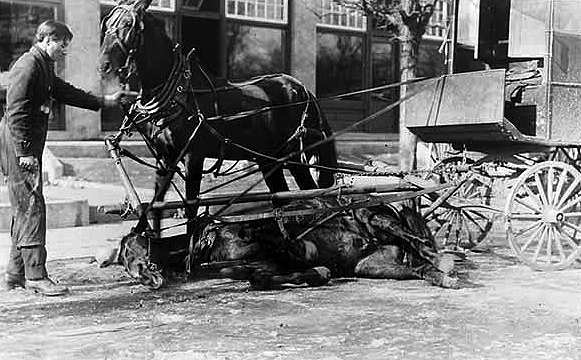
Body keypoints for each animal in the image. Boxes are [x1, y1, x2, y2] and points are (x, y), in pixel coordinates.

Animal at [98, 0, 338, 235]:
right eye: (107, 22)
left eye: (128, 24)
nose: (103, 65)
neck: (180, 94)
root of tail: (303, 91)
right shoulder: (165, 158)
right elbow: (156, 205)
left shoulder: (193, 156)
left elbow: (191, 207)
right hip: (270, 158)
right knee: (283, 197)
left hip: (294, 155)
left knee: (311, 193)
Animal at [101, 198, 462, 292]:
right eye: (125, 262)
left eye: (133, 251)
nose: (147, 278)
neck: (207, 246)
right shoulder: (260, 266)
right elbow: (259, 277)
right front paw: (315, 273)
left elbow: (276, 240)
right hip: (374, 264)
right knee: (417, 269)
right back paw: (440, 275)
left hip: (372, 218)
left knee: (418, 241)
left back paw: (443, 259)